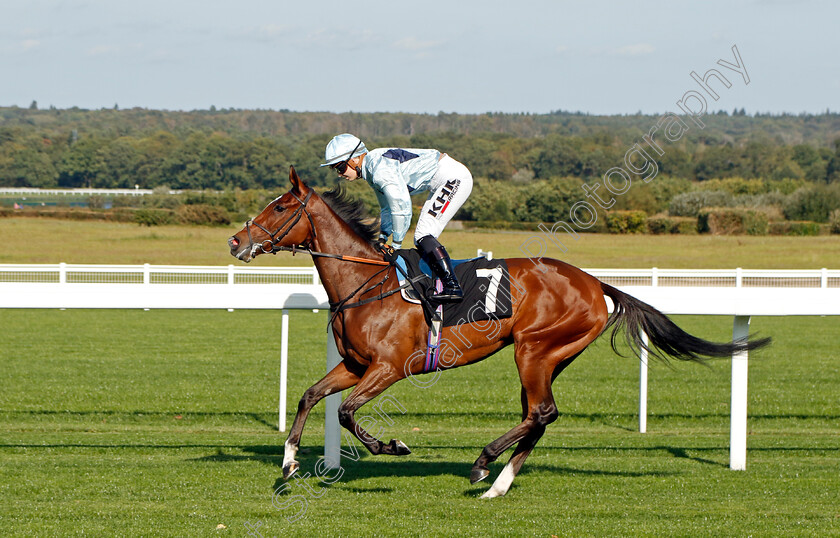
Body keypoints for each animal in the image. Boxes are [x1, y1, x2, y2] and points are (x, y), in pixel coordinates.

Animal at [226, 168, 772, 498]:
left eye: (280, 208)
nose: (235, 241)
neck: (369, 283)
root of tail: (596, 284)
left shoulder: (388, 368)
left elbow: (348, 412)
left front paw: (394, 446)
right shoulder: (356, 365)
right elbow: (310, 395)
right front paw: (289, 464)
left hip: (534, 349)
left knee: (541, 412)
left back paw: (484, 463)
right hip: (548, 357)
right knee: (539, 415)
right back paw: (497, 482)